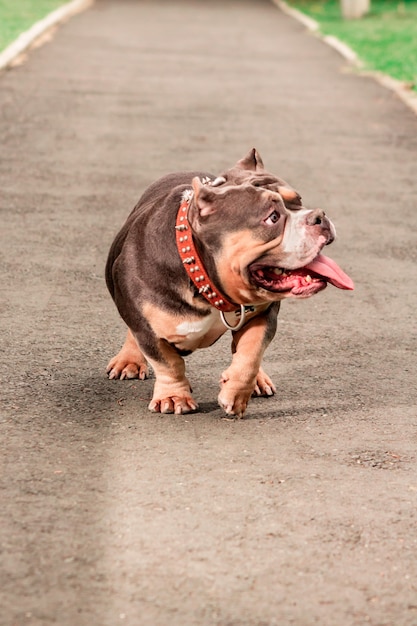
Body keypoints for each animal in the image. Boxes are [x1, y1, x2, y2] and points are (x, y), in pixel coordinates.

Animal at [105, 149, 352, 416]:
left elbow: (251, 354)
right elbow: (168, 363)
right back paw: (129, 359)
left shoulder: (262, 316)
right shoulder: (147, 330)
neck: (205, 283)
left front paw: (236, 393)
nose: (319, 216)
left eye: (298, 200)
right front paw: (173, 396)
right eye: (273, 217)